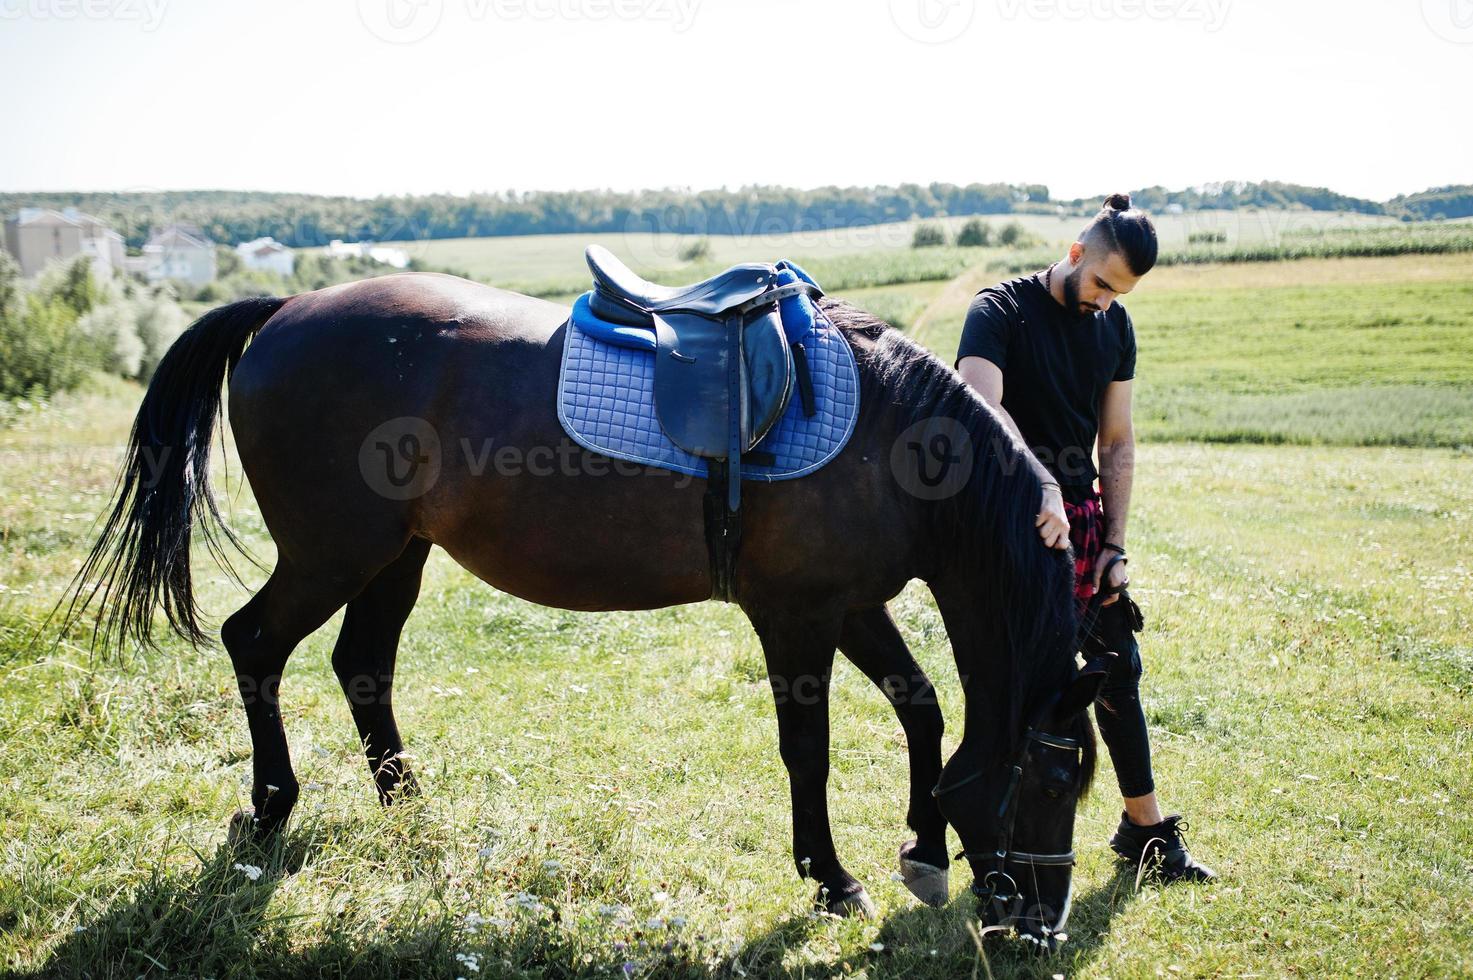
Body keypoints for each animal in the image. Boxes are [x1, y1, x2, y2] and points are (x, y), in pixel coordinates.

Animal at [69, 271, 1107, 943]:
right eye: (1056, 780)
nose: (1040, 928)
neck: (890, 433)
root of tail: (286, 309)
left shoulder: (851, 606)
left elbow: (920, 709)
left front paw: (922, 851)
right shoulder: (797, 617)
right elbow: (808, 752)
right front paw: (830, 879)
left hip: (395, 557)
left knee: (361, 665)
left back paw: (409, 810)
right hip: (333, 554)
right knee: (254, 641)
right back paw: (272, 806)